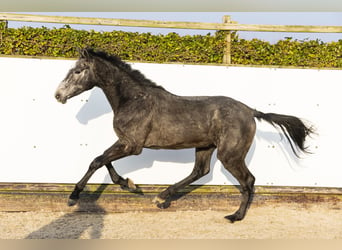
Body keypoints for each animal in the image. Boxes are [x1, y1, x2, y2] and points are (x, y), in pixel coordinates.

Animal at [54, 47, 314, 222]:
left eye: (77, 71)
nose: (58, 95)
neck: (134, 100)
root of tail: (250, 111)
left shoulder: (132, 145)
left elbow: (97, 160)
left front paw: (73, 196)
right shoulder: (126, 143)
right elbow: (103, 160)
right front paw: (129, 184)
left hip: (230, 155)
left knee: (247, 180)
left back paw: (235, 216)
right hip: (205, 146)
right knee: (200, 171)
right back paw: (162, 198)